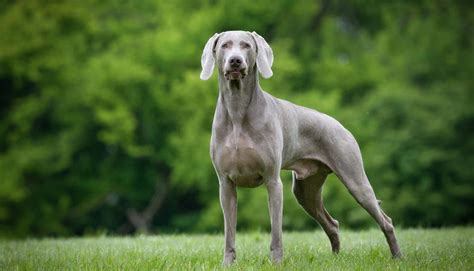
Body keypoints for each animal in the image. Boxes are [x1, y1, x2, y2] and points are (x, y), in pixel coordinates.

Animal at [198, 30, 402, 266]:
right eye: (225, 45)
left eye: (247, 45)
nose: (235, 61)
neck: (237, 109)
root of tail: (340, 125)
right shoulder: (225, 184)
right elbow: (229, 231)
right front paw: (228, 263)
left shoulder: (273, 181)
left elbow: (276, 230)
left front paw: (276, 262)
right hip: (306, 190)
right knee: (332, 223)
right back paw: (336, 258)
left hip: (355, 179)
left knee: (385, 220)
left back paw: (398, 256)